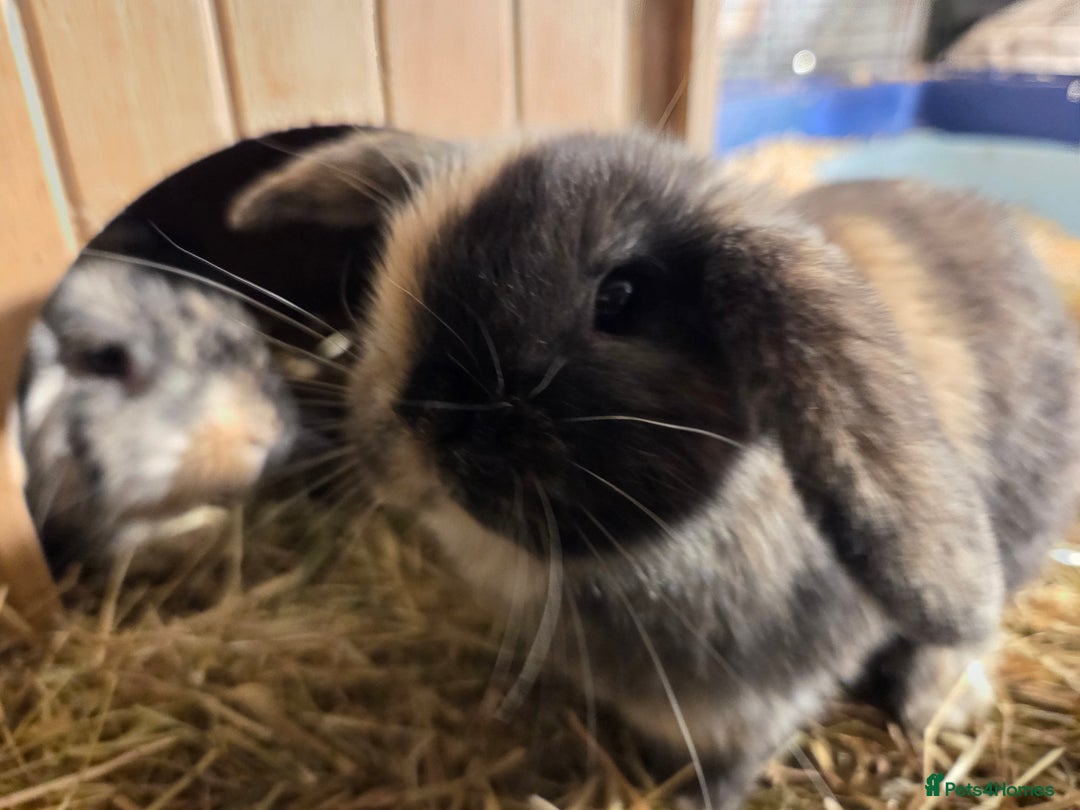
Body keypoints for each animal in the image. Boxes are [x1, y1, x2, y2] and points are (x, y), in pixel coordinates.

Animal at [227, 128, 1080, 808]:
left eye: (623, 297)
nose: (422, 417)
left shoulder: (758, 702)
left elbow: (732, 760)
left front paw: (694, 800)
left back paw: (935, 701)